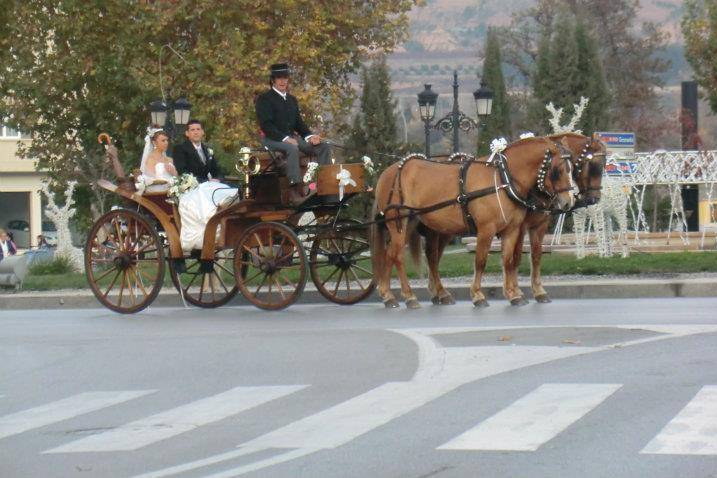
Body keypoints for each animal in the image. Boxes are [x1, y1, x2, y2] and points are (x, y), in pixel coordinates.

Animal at [372, 136, 572, 308]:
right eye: (558, 171)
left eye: (573, 168)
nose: (568, 202)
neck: (504, 179)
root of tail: (388, 172)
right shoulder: (486, 230)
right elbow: (481, 261)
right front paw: (477, 295)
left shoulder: (512, 230)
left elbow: (508, 260)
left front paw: (513, 295)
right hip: (398, 222)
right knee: (398, 256)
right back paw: (409, 295)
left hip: (410, 224)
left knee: (391, 254)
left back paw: (388, 295)